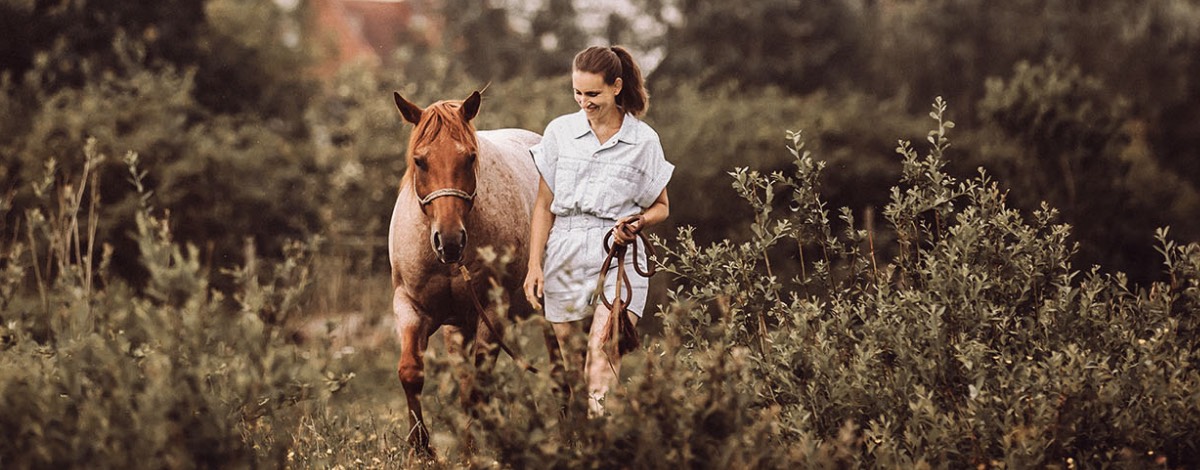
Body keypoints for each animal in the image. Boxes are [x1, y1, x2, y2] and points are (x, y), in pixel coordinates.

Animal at [388, 89, 544, 453]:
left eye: (470, 158)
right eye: (420, 160)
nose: (449, 241)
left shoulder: (492, 312)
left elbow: (478, 389)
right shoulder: (411, 308)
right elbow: (412, 374)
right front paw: (422, 449)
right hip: (459, 326)